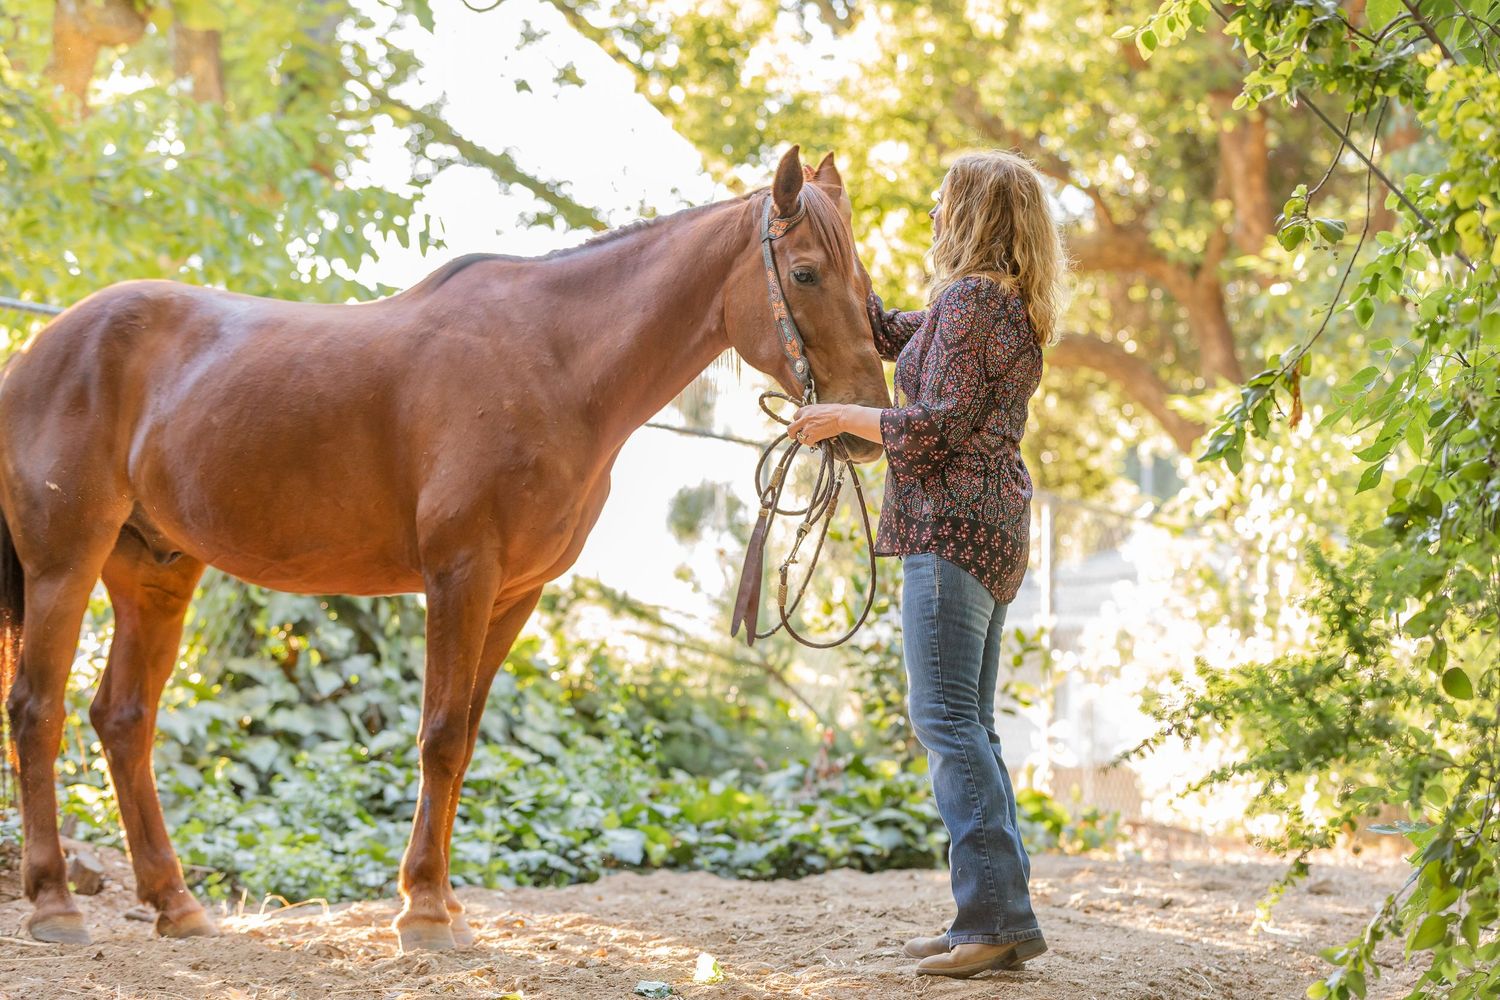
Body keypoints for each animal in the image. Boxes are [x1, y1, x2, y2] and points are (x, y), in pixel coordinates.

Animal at [0, 146, 891, 951]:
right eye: (806, 273)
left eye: (864, 283)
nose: (864, 423)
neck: (554, 361)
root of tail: (39, 349)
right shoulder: (460, 577)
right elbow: (436, 736)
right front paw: (424, 913)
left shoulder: (515, 593)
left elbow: (461, 738)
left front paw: (445, 907)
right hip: (64, 565)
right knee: (37, 711)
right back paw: (54, 905)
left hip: (154, 572)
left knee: (123, 719)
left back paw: (175, 905)